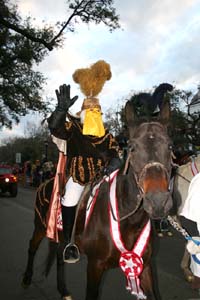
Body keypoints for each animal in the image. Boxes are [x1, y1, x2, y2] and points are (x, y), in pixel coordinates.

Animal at [22, 99, 173, 298]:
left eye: (170, 146)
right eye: (132, 147)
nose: (158, 201)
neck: (128, 220)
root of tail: (45, 183)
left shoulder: (144, 266)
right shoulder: (95, 266)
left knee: (59, 257)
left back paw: (63, 290)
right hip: (40, 226)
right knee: (32, 247)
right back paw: (26, 279)